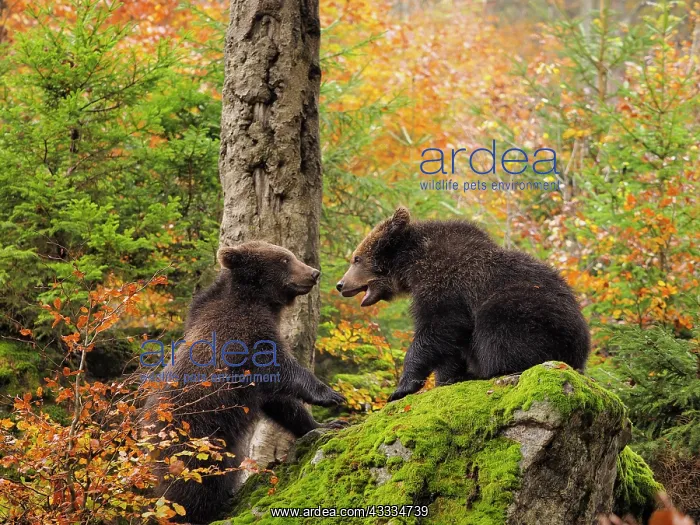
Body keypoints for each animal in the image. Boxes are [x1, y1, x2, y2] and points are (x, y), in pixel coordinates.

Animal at [142, 241, 345, 524]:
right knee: (197, 481)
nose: (314, 273)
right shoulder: (243, 335)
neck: (259, 300)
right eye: (284, 260)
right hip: (196, 436)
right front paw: (328, 394)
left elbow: (282, 405)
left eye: (290, 256)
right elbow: (279, 367)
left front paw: (326, 424)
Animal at [336, 207, 590, 402]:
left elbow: (438, 328)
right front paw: (447, 378)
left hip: (528, 311)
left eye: (356, 259)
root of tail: (581, 350)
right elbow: (450, 346)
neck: (411, 264)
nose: (340, 284)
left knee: (500, 331)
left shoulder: (444, 286)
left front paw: (402, 388)